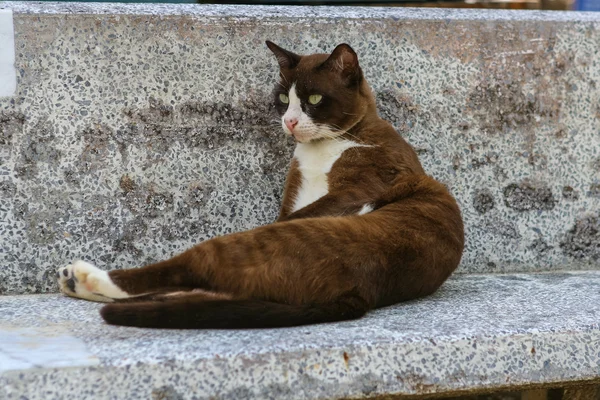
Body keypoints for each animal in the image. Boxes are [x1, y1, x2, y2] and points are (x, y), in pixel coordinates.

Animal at [56, 41, 464, 328]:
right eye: (284, 98)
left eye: (314, 98)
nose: (290, 122)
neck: (322, 148)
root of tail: (360, 291)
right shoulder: (294, 194)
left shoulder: (359, 188)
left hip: (240, 245)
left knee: (183, 272)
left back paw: (83, 278)